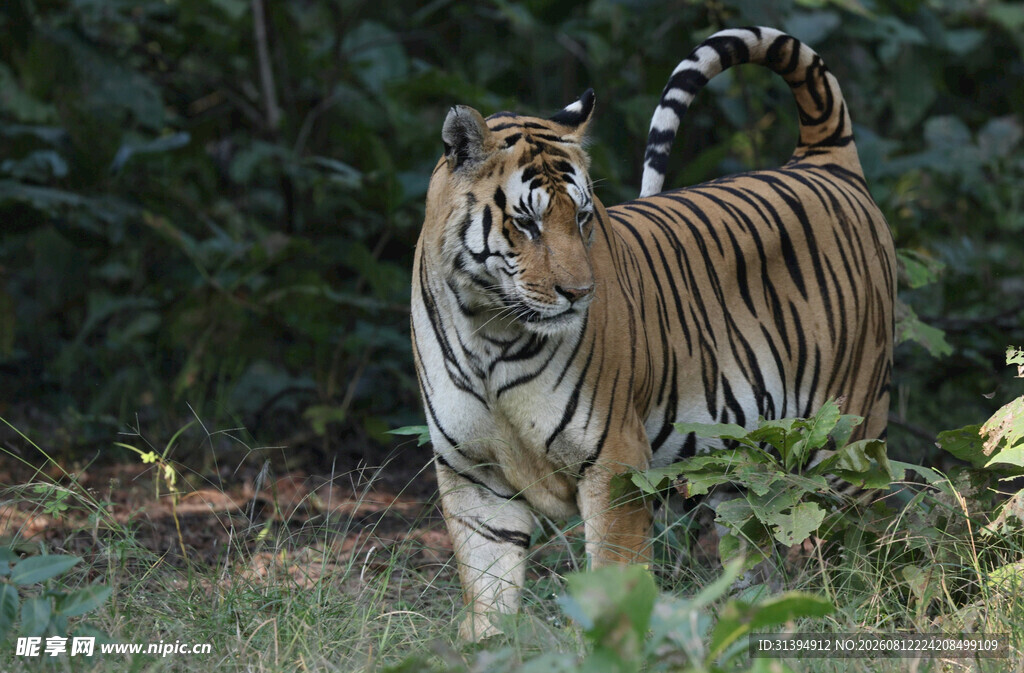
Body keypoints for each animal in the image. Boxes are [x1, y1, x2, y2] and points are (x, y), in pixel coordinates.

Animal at [410, 26, 895, 641]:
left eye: (583, 217)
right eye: (527, 222)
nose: (579, 293)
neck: (488, 330)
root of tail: (822, 161)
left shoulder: (613, 459)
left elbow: (614, 582)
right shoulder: (472, 476)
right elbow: (489, 594)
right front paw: (485, 646)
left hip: (847, 435)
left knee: (859, 538)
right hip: (745, 467)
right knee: (753, 550)